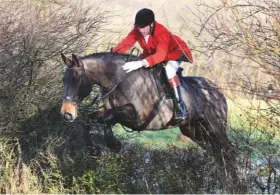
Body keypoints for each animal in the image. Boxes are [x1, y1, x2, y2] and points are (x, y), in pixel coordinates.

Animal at [59, 50, 238, 183]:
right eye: (63, 80)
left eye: (76, 79)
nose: (67, 113)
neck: (118, 79)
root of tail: (217, 90)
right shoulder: (110, 110)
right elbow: (90, 120)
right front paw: (94, 149)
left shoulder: (136, 117)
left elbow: (108, 117)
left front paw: (112, 143)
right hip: (195, 131)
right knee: (217, 152)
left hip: (215, 128)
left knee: (228, 151)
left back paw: (232, 181)